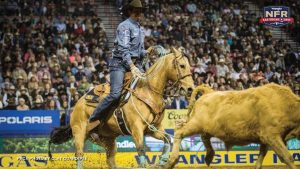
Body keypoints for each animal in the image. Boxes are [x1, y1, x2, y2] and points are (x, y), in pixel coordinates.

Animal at [48, 46, 195, 168]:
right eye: (182, 65)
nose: (190, 89)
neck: (148, 91)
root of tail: (77, 104)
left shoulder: (153, 128)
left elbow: (167, 139)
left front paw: (164, 160)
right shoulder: (136, 128)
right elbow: (141, 150)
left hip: (106, 139)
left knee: (110, 159)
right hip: (80, 133)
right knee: (79, 155)